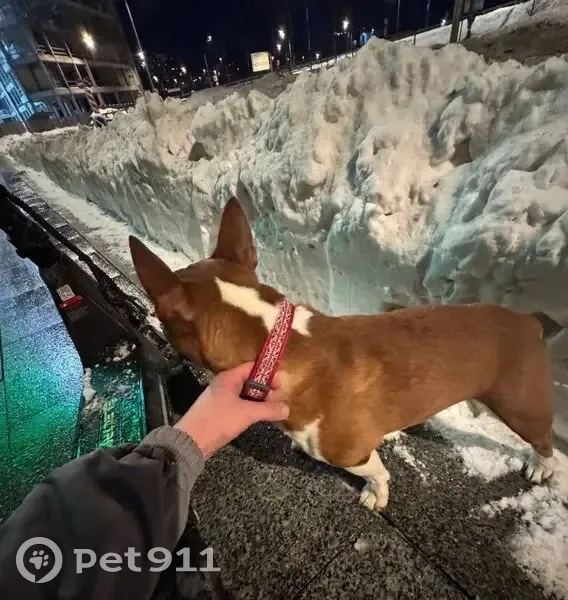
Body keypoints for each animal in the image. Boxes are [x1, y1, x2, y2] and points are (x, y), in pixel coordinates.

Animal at [129, 197, 555, 512]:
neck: (276, 342)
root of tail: (529, 321)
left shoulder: (350, 450)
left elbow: (376, 472)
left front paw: (375, 494)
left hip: (520, 405)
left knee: (543, 439)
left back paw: (540, 467)